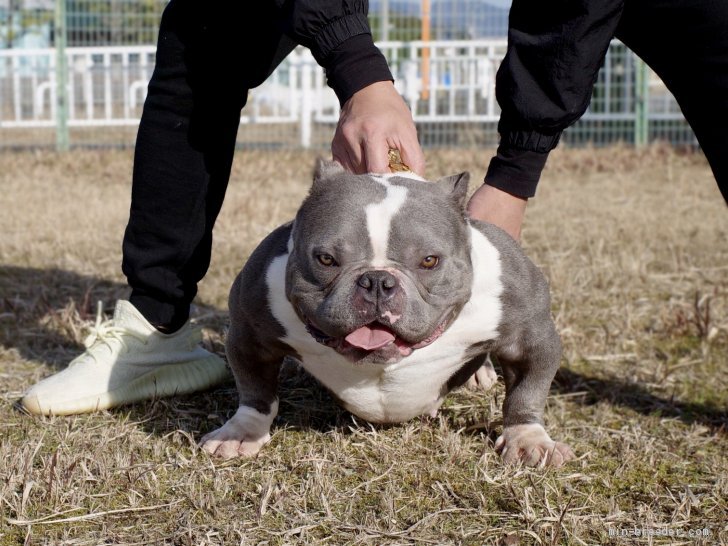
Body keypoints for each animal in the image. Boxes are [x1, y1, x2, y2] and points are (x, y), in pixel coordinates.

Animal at [200, 159, 576, 466]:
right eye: (326, 259)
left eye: (429, 261)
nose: (378, 281)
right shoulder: (250, 335)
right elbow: (256, 392)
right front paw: (242, 432)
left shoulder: (531, 338)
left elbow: (527, 392)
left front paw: (528, 440)